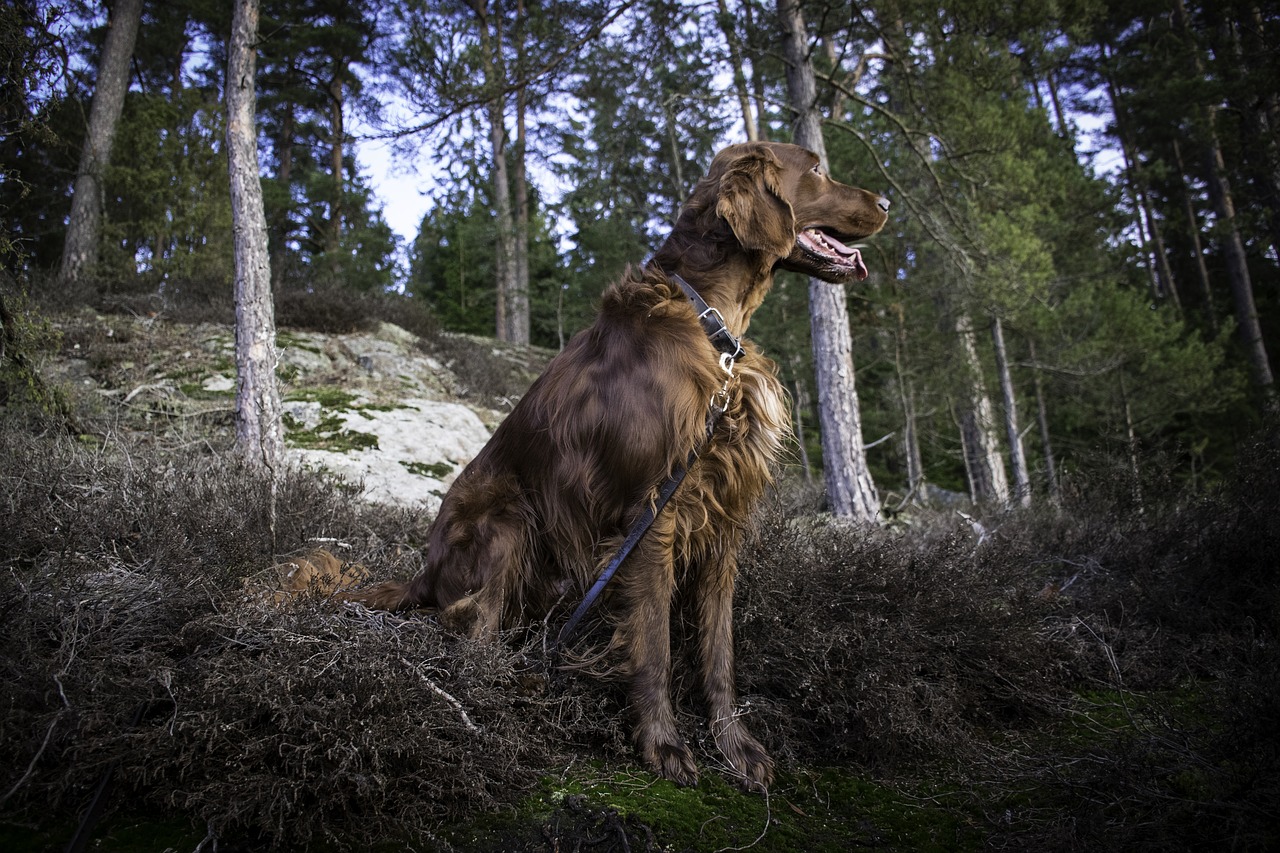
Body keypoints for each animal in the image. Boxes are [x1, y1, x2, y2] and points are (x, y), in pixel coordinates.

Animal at [350, 142, 890, 788]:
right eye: (814, 169)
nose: (888, 201)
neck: (711, 321)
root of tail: (424, 573)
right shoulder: (653, 511)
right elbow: (653, 641)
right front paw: (662, 744)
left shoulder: (724, 517)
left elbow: (719, 649)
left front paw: (734, 745)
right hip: (508, 522)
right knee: (470, 631)